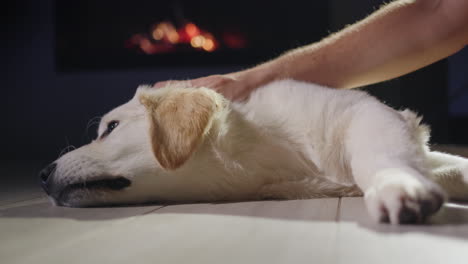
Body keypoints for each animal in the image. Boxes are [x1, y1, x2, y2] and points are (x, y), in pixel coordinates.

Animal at [39, 79, 468, 224]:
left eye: (110, 128)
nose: (40, 175)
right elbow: (454, 167)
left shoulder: (368, 115)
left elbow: (380, 154)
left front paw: (399, 186)